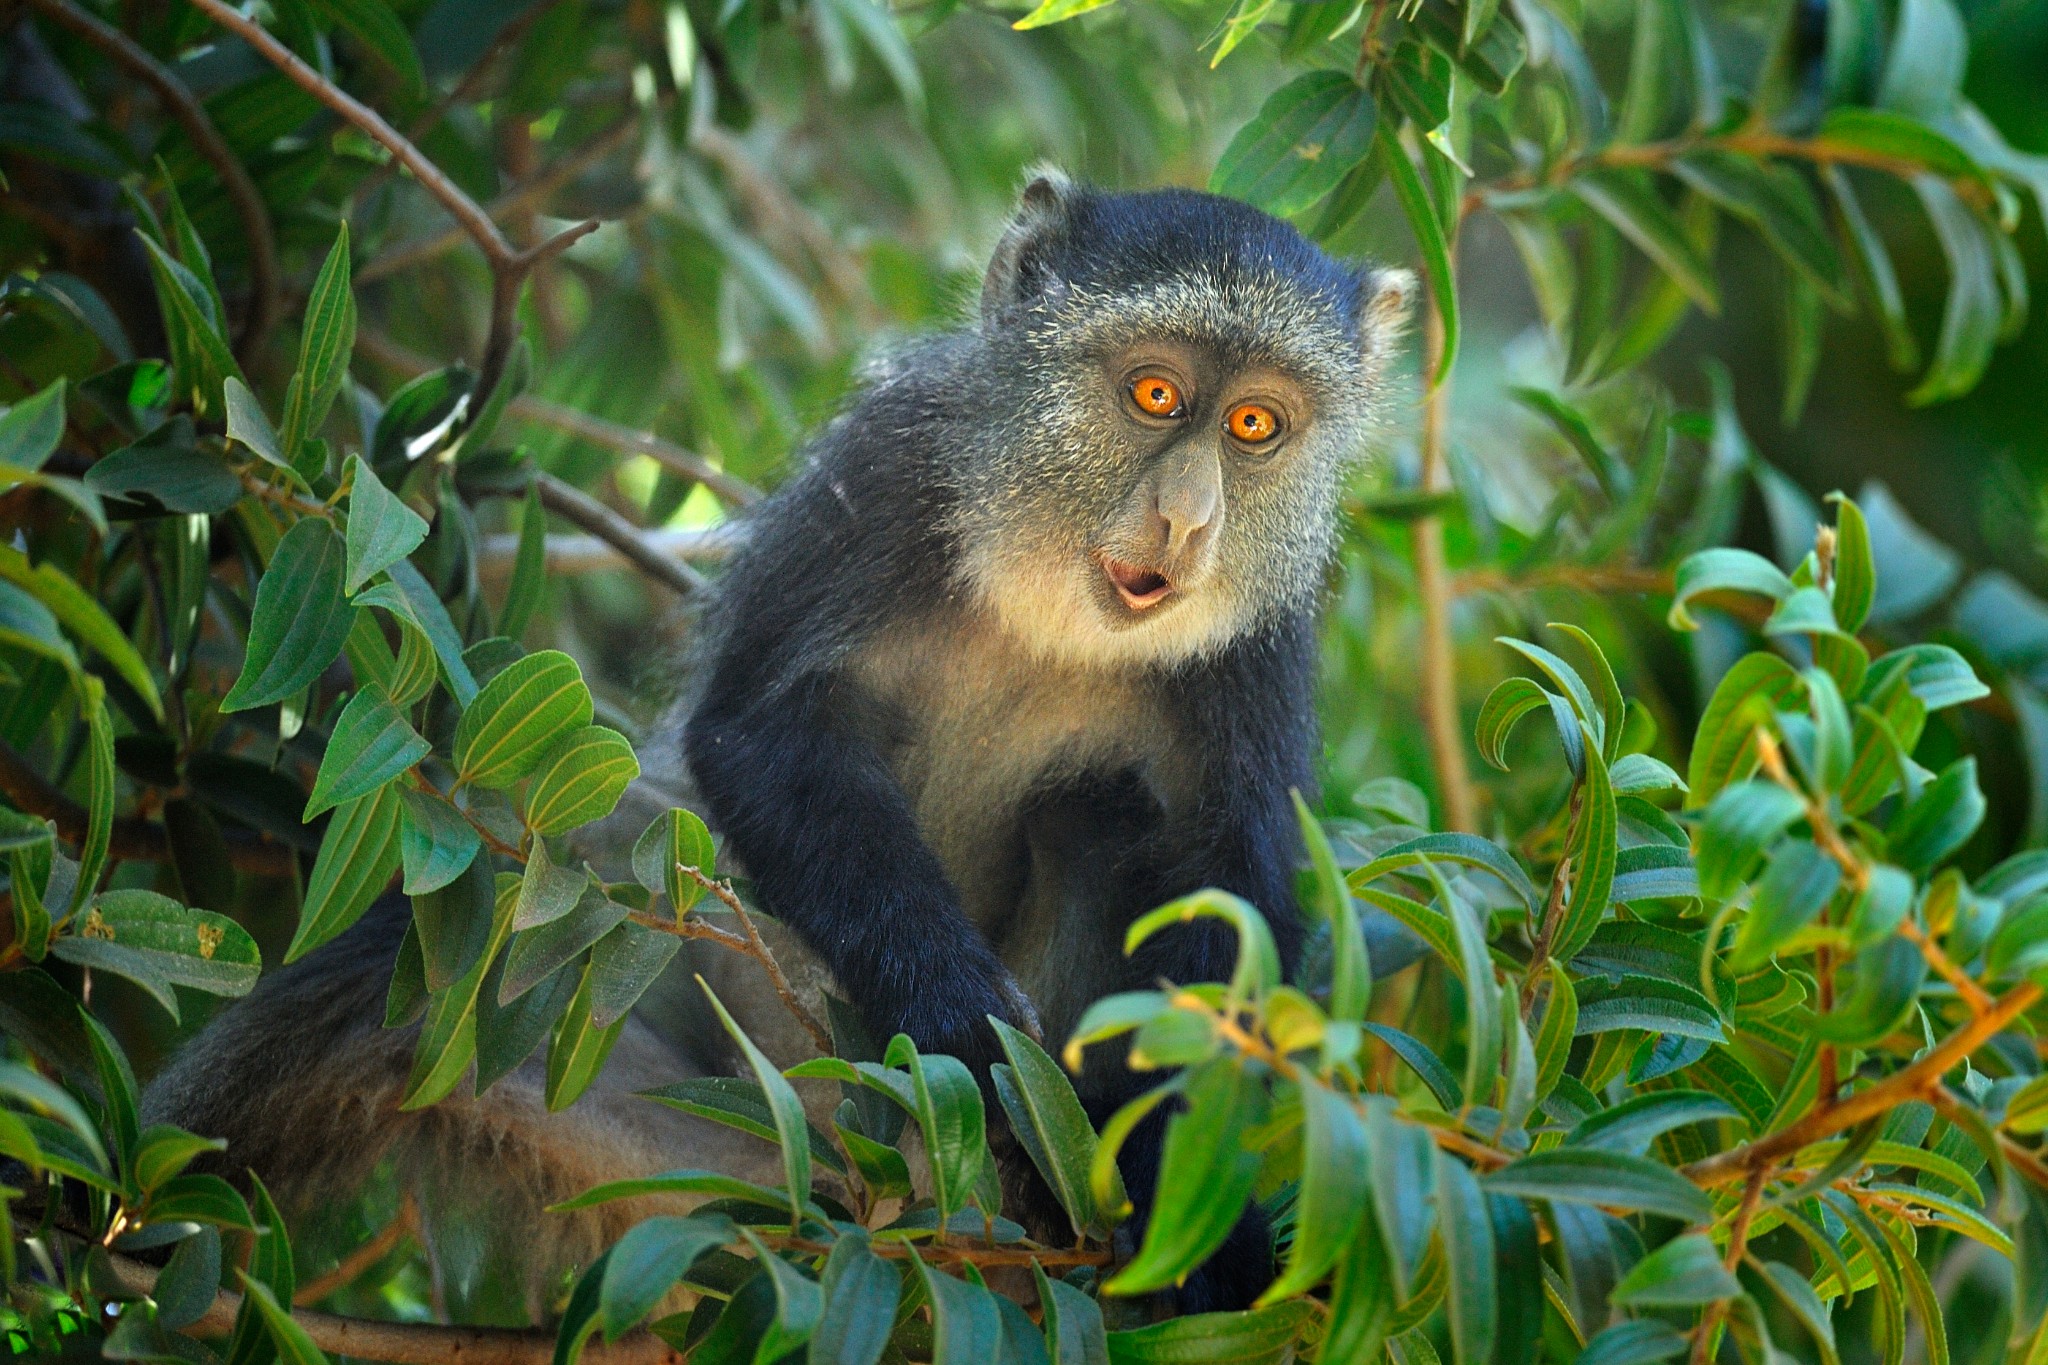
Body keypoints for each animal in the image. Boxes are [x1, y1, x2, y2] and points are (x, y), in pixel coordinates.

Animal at [144, 167, 1417, 1326]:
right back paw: (134, 1222)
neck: (1049, 597)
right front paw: (966, 1027)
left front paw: (1207, 1235)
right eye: (1155, 393)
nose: (1189, 520)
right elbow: (760, 734)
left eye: (1254, 427)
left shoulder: (1256, 645)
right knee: (445, 957)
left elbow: (1222, 881)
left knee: (1097, 810)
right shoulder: (886, 474)